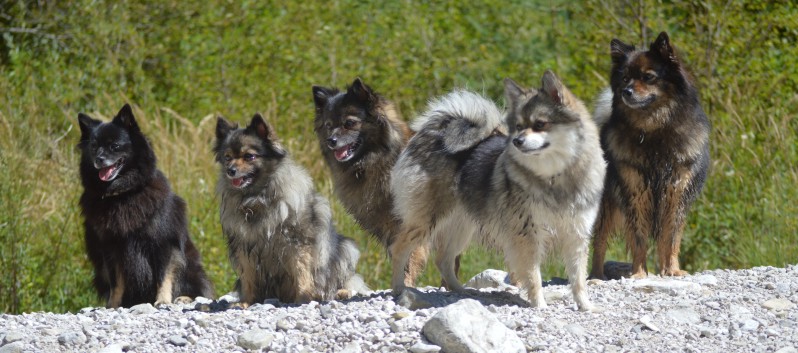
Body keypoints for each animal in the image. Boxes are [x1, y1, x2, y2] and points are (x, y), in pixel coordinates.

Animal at [214, 114, 368, 304]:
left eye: (249, 156)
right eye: (227, 157)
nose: (230, 170)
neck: (256, 198)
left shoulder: (297, 244)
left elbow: (301, 272)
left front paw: (303, 298)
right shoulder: (244, 247)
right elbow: (248, 277)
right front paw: (246, 302)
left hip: (347, 248)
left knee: (345, 281)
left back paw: (341, 292)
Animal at [390, 70, 608, 310]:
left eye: (540, 124)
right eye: (519, 126)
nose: (517, 141)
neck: (555, 177)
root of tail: (435, 133)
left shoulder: (576, 235)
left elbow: (578, 279)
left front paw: (585, 306)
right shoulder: (528, 234)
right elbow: (534, 276)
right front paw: (539, 305)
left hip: (461, 225)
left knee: (444, 260)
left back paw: (460, 291)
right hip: (427, 220)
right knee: (399, 249)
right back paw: (398, 288)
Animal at [592, 31, 716, 280]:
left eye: (648, 77)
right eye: (624, 79)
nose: (626, 92)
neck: (655, 132)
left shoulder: (676, 193)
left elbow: (670, 239)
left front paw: (671, 270)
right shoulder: (636, 191)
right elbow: (639, 238)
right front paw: (639, 273)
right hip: (605, 205)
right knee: (598, 241)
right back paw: (596, 276)